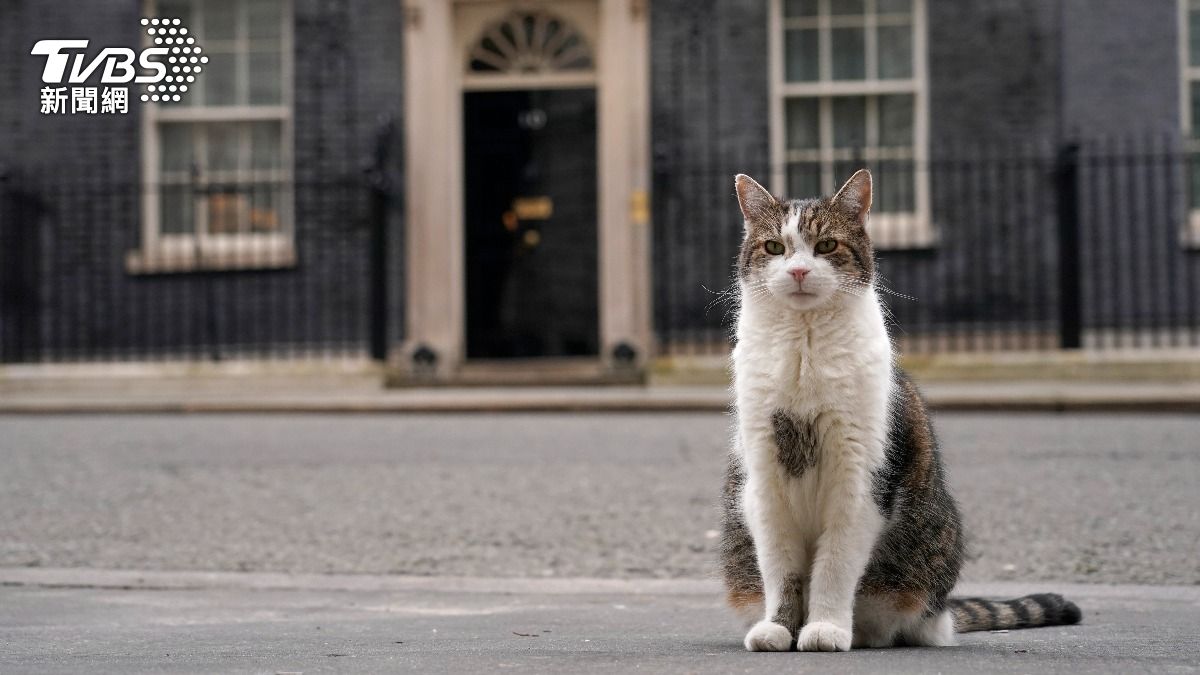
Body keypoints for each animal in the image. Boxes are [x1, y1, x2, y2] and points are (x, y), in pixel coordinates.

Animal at [715, 170, 1084, 648]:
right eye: (775, 247)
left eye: (826, 246)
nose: (797, 270)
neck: (804, 348)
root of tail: (943, 611)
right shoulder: (764, 479)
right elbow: (781, 569)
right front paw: (779, 628)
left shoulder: (859, 480)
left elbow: (834, 565)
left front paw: (826, 627)